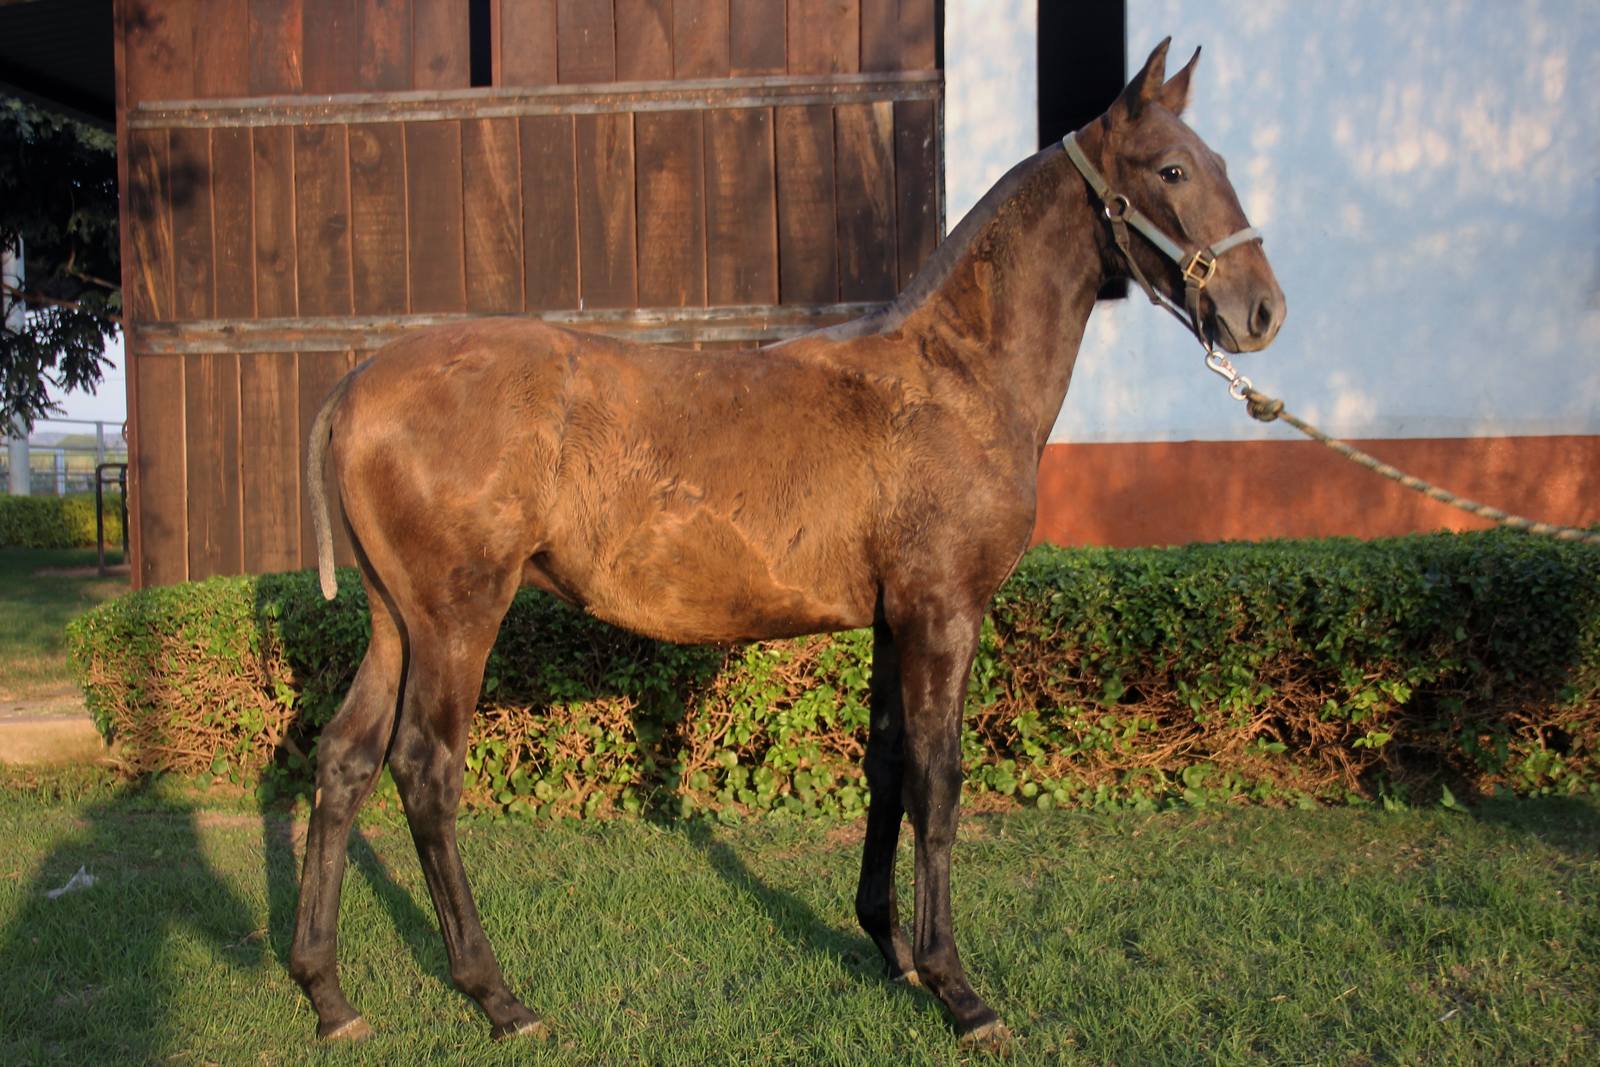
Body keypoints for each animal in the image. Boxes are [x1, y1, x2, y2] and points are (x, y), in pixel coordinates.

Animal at [289, 38, 1285, 1048]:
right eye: (1171, 170)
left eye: (1220, 163)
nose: (1262, 312)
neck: (953, 379)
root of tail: (355, 386)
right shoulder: (944, 613)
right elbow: (939, 782)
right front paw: (958, 988)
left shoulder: (895, 618)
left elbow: (888, 764)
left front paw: (892, 949)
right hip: (456, 621)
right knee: (424, 772)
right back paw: (496, 995)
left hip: (395, 623)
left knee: (343, 761)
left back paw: (328, 994)